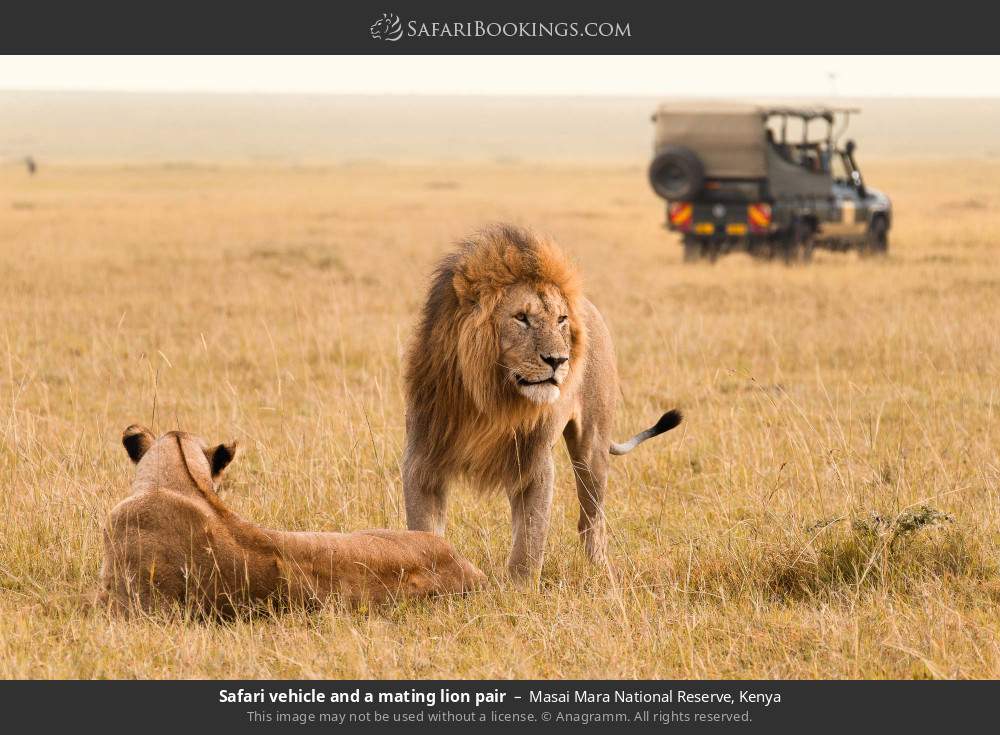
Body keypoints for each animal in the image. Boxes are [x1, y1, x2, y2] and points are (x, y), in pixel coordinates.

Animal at [403, 224, 682, 584]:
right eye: (521, 318)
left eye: (560, 319)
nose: (558, 360)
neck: (491, 399)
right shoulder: (423, 458)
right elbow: (424, 530)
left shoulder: (534, 462)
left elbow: (530, 538)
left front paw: (519, 590)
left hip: (592, 447)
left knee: (591, 519)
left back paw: (599, 570)